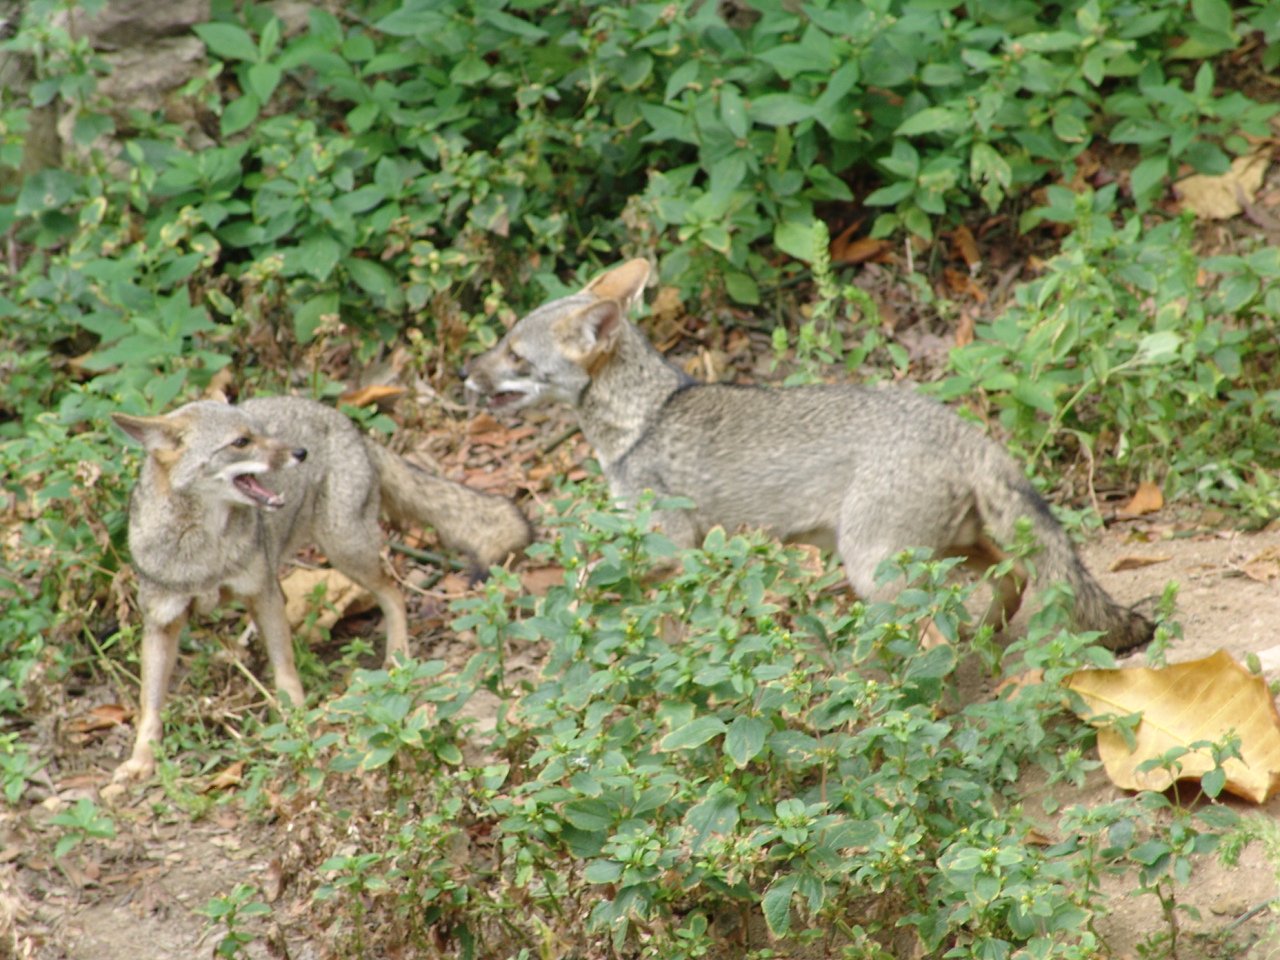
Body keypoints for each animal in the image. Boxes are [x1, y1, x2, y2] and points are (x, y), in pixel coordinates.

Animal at [110, 394, 532, 782]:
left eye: (261, 432)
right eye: (241, 442)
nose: (300, 452)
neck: (203, 556)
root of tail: (344, 420)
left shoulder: (263, 595)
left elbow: (285, 671)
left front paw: (297, 722)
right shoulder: (162, 622)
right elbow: (150, 705)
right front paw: (141, 760)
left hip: (344, 549)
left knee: (395, 594)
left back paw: (397, 655)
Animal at [464, 257, 1153, 653]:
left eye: (514, 355)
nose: (465, 374)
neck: (647, 414)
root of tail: (964, 432)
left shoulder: (670, 546)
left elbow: (585, 580)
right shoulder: (690, 559)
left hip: (874, 570)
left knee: (937, 639)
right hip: (948, 549)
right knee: (1013, 578)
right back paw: (984, 638)